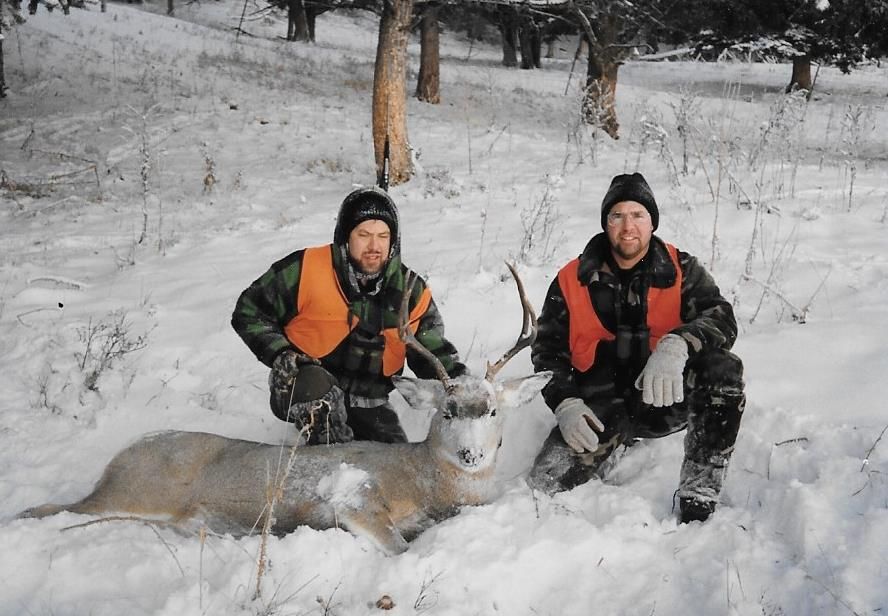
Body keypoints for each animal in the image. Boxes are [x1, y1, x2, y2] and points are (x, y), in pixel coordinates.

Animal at [17, 264, 551, 555]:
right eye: (447, 411)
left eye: (492, 412)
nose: (470, 455)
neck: (426, 481)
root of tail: (118, 458)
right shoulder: (354, 495)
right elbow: (399, 546)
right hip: (135, 491)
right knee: (50, 509)